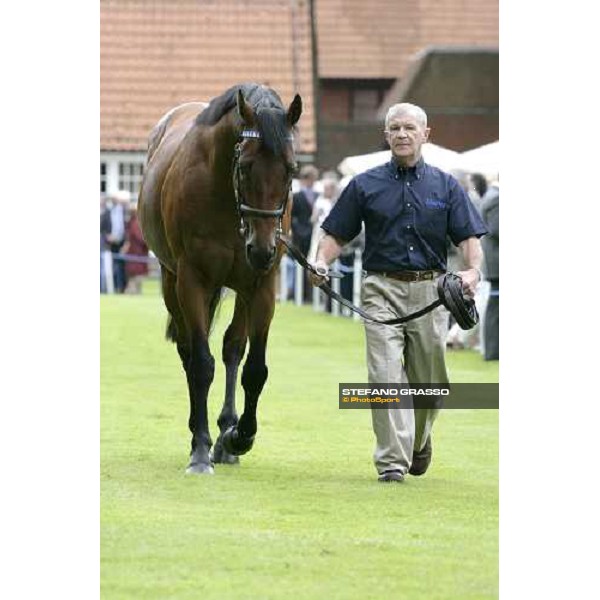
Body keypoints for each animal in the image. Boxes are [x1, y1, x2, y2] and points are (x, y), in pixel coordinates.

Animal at [138, 83, 302, 474]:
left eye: (291, 169)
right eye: (245, 167)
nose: (262, 248)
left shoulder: (261, 286)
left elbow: (253, 367)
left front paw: (239, 435)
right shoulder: (192, 280)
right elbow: (200, 363)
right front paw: (200, 448)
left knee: (232, 348)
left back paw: (226, 435)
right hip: (170, 280)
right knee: (188, 351)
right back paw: (200, 434)